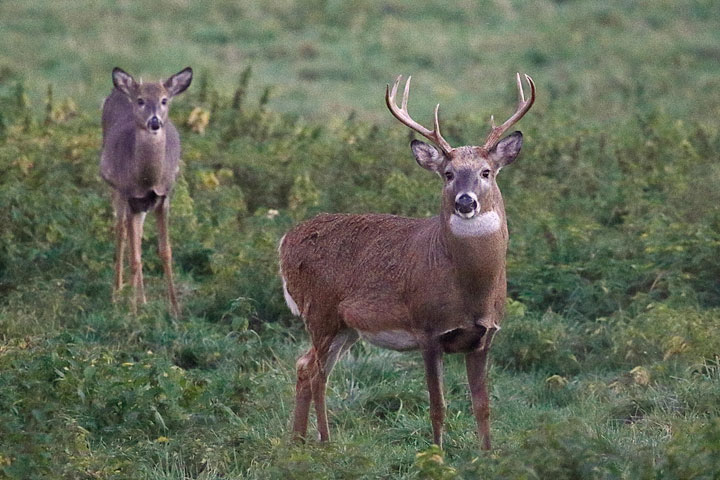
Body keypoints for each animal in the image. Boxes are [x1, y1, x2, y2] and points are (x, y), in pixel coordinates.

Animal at [100, 65, 194, 316]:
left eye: (164, 100)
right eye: (141, 100)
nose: (154, 122)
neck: (147, 179)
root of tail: (119, 90)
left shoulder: (163, 197)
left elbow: (165, 252)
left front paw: (175, 309)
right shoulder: (130, 196)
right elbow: (134, 257)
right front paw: (132, 312)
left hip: (141, 206)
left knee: (137, 238)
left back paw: (141, 299)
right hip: (116, 191)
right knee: (121, 232)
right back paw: (116, 293)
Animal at [280, 72, 536, 450]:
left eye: (487, 172)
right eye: (447, 173)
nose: (465, 202)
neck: (470, 290)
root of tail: (285, 241)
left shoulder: (485, 336)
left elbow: (483, 405)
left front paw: (488, 454)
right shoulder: (428, 329)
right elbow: (437, 405)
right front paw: (437, 453)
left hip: (344, 326)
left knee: (307, 365)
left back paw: (298, 441)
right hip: (319, 311)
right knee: (315, 372)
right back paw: (323, 441)